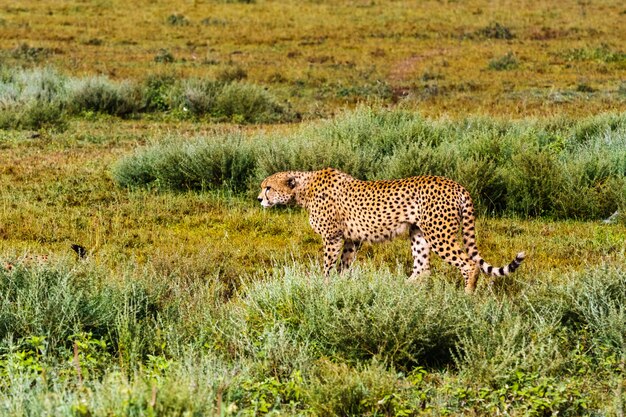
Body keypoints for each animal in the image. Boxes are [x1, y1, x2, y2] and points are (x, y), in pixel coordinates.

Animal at [256, 167, 524, 290]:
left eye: (268, 187)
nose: (259, 199)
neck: (304, 189)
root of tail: (457, 185)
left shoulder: (332, 237)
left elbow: (327, 266)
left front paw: (324, 287)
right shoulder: (352, 239)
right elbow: (344, 266)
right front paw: (341, 287)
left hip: (440, 234)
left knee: (468, 265)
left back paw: (466, 298)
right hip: (419, 234)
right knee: (422, 268)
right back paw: (401, 290)